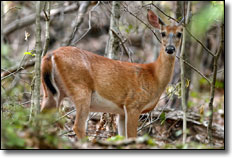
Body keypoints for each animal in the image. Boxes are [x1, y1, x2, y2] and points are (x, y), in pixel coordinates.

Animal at [40, 9, 184, 139]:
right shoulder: (133, 104)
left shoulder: (122, 111)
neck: (154, 76)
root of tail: (51, 55)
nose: (170, 49)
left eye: (179, 33)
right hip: (80, 89)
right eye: (163, 33)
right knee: (78, 126)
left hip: (51, 92)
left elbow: (124, 137)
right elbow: (132, 136)